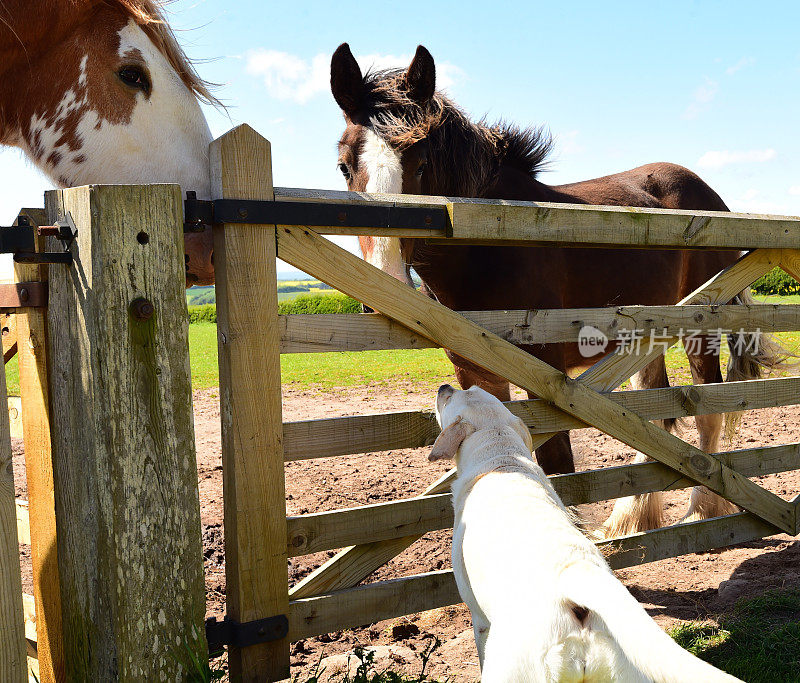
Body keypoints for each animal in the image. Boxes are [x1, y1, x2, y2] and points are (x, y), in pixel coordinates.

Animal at [328, 42, 784, 536]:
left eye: (421, 164)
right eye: (344, 166)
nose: (383, 285)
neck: (491, 244)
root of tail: (711, 196)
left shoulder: (548, 378)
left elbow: (557, 462)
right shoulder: (476, 372)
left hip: (700, 329)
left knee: (707, 410)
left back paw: (699, 510)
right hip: (647, 336)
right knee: (656, 413)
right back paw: (631, 518)